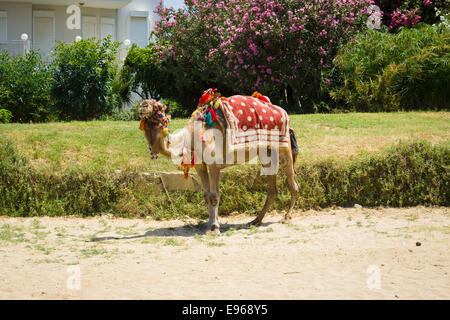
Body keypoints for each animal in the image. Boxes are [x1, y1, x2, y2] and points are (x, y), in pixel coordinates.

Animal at [137, 91, 298, 234]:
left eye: (159, 107)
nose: (142, 106)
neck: (193, 135)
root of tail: (284, 113)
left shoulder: (214, 163)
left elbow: (214, 196)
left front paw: (214, 228)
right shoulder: (200, 165)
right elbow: (206, 195)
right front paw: (208, 225)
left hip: (283, 146)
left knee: (293, 181)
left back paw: (287, 217)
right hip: (266, 151)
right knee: (272, 189)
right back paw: (255, 220)